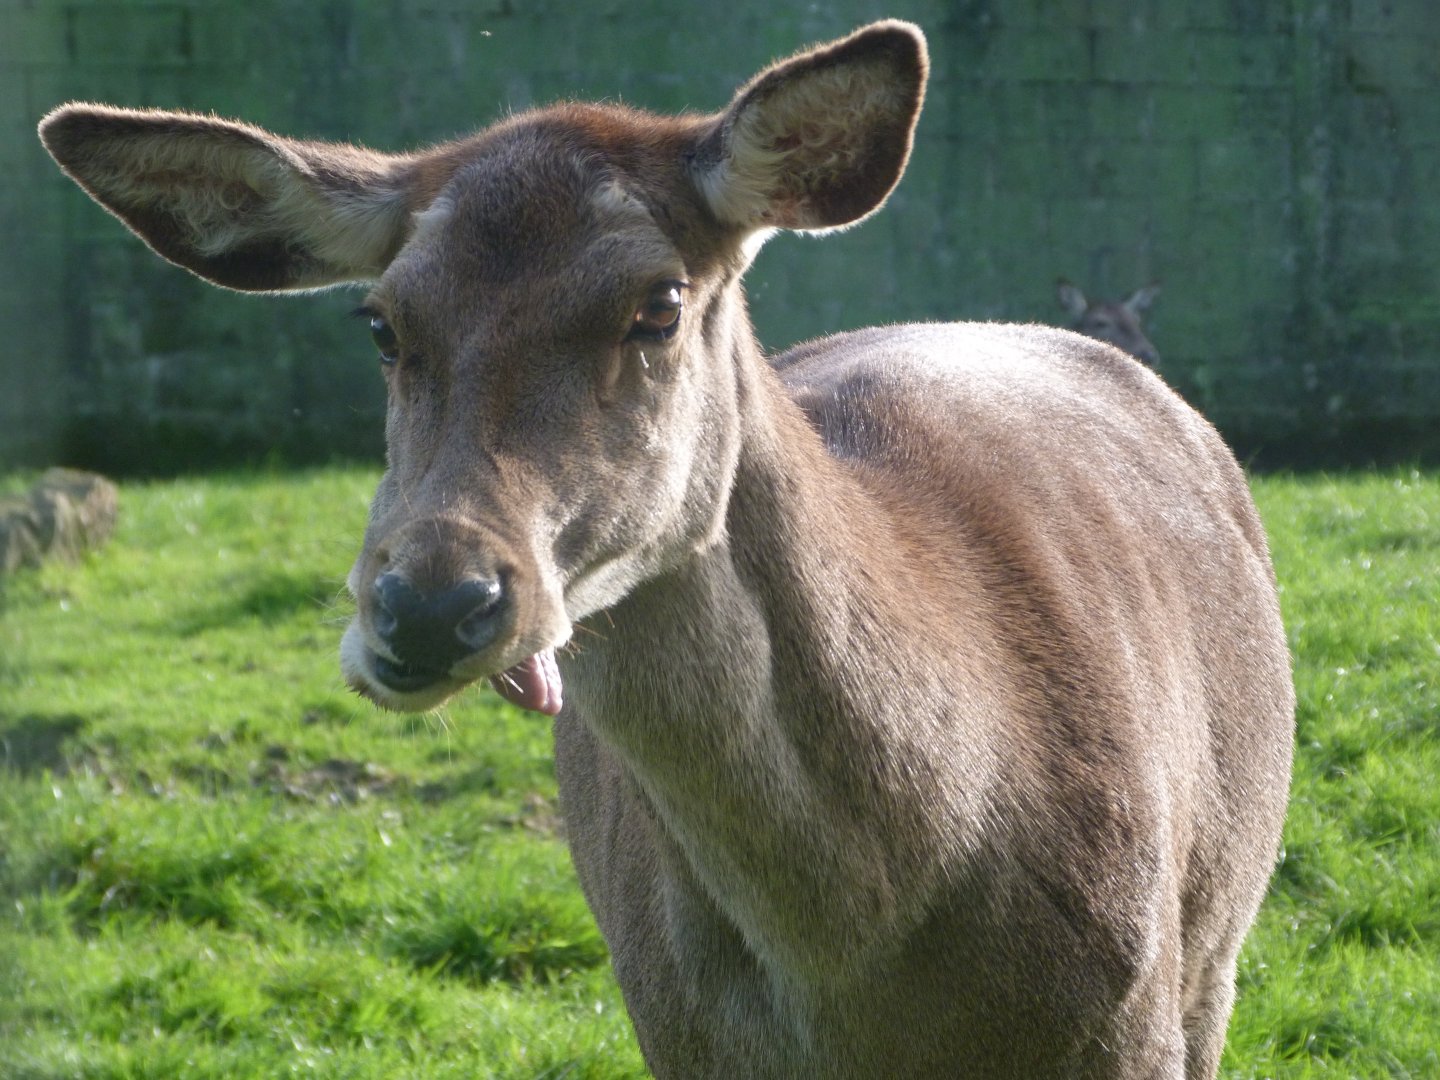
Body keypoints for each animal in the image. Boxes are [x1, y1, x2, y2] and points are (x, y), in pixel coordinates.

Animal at [40, 20, 1293, 1079]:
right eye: (383, 324)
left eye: (659, 302)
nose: (430, 604)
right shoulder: (674, 1032)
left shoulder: (1132, 1020)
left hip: (1216, 955)